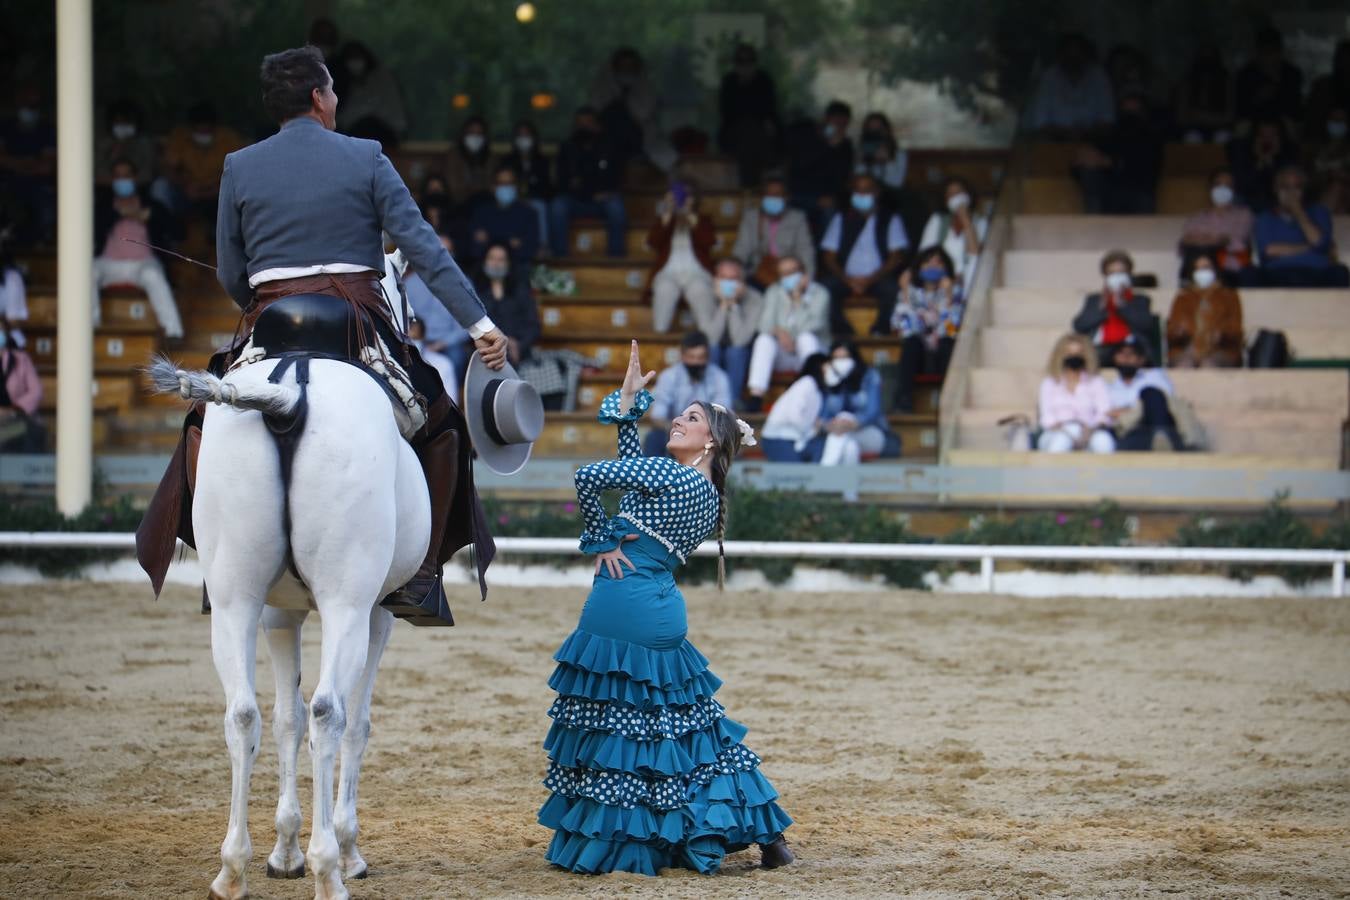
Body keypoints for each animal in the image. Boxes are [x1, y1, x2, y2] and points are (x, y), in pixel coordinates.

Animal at [150, 356, 429, 900]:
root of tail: (290, 392)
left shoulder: (277, 615)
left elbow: (285, 719)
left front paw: (283, 851)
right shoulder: (377, 614)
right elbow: (355, 724)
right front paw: (345, 849)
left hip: (234, 601)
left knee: (242, 715)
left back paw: (232, 869)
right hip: (347, 606)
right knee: (328, 713)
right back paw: (329, 870)